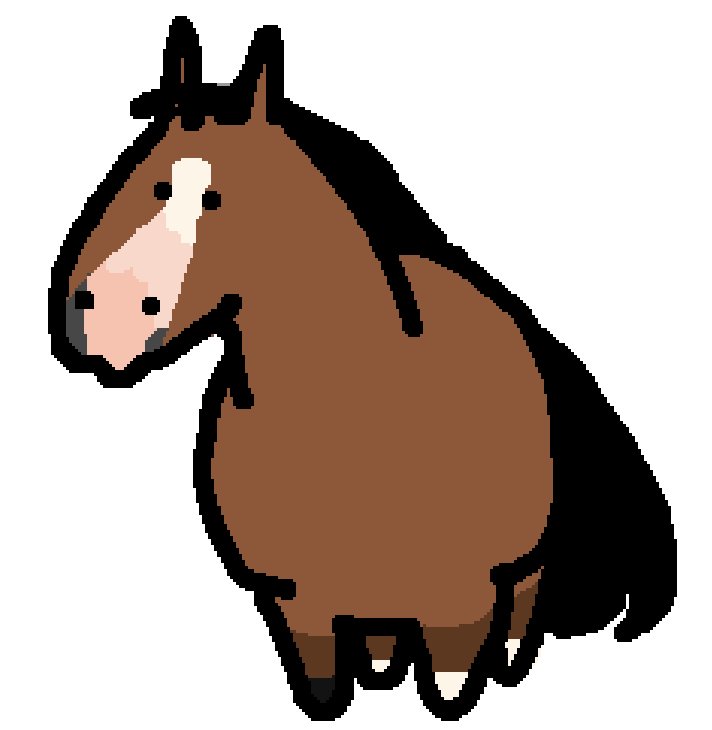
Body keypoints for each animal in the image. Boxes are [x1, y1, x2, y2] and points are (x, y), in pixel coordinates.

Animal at [48, 17, 676, 721]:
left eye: (217, 198)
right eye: (138, 173)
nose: (104, 313)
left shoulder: (458, 617)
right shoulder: (299, 611)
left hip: (515, 574)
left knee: (521, 609)